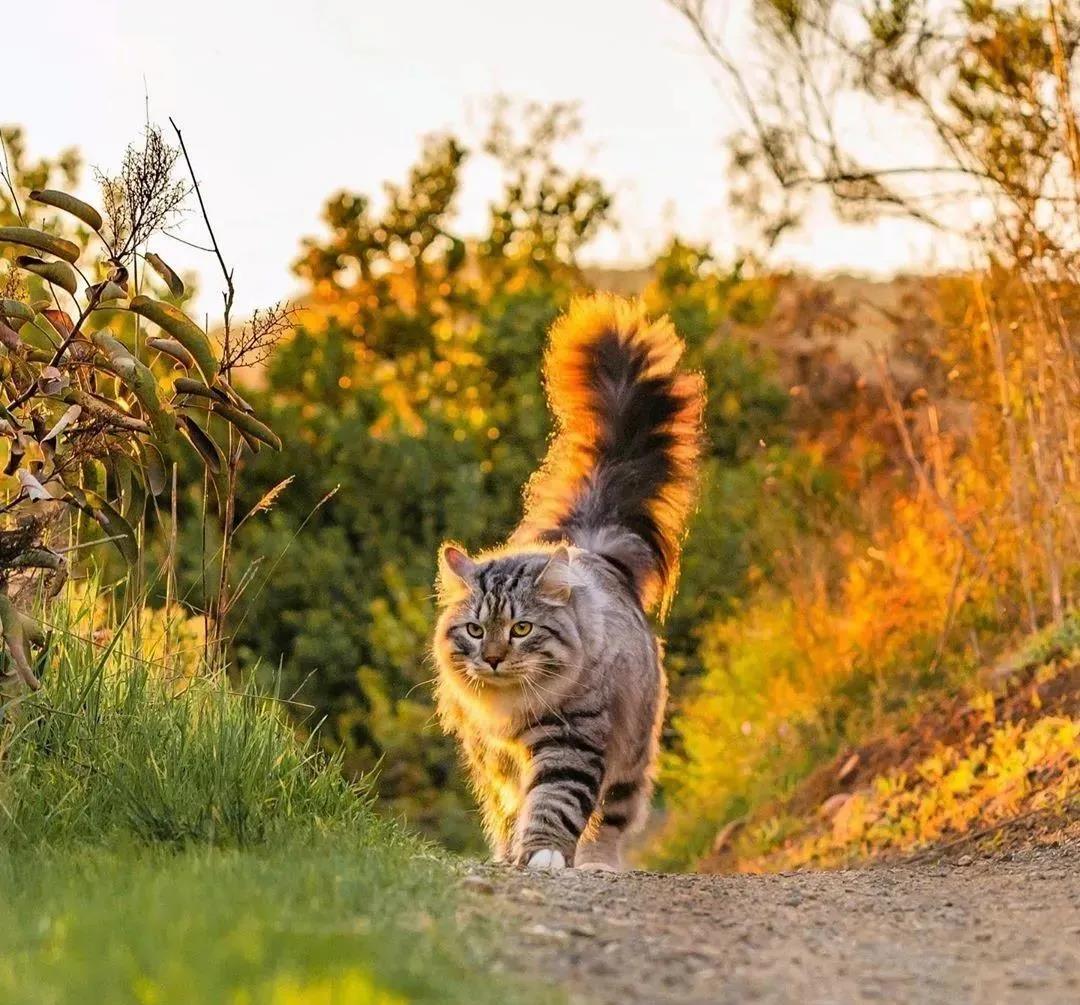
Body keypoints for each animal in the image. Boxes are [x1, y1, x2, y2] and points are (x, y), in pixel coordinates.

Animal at [434, 293, 704, 872]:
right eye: (475, 631)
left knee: (615, 815)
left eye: (521, 630)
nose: (493, 658)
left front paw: (542, 856)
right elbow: (511, 810)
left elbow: (555, 802)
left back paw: (600, 862)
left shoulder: (571, 738)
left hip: (633, 749)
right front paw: (511, 855)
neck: (509, 710)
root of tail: (593, 546)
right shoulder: (492, 757)